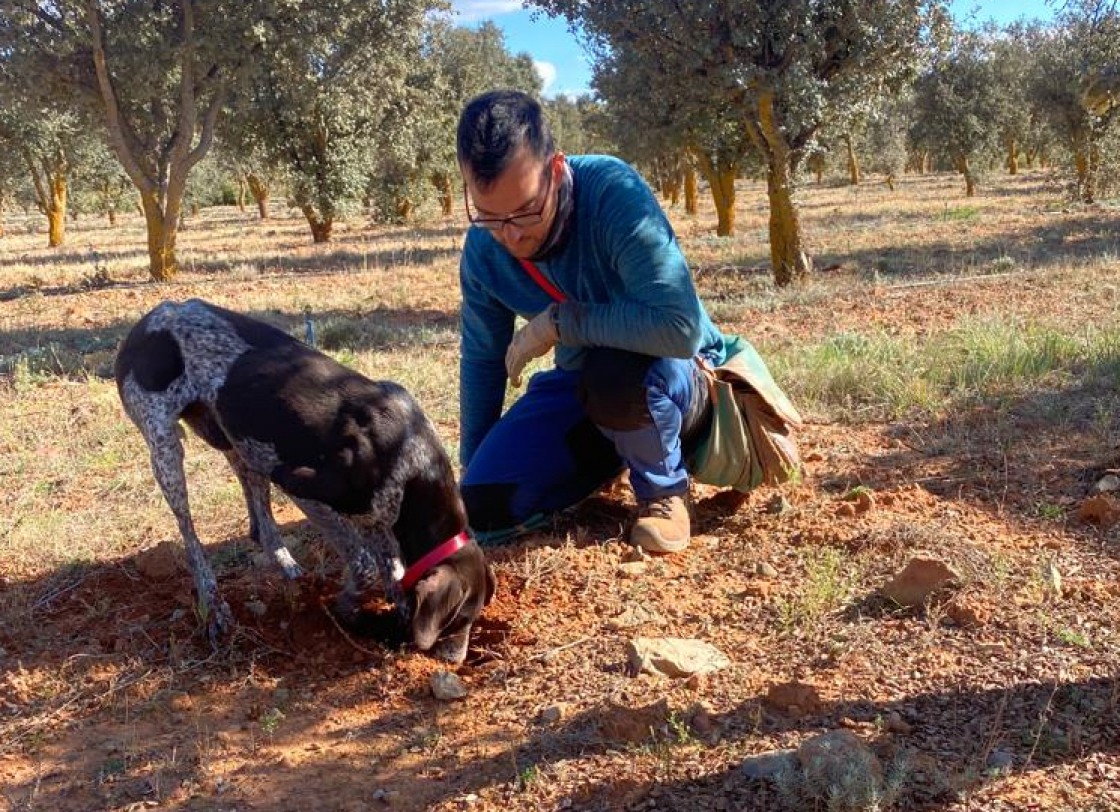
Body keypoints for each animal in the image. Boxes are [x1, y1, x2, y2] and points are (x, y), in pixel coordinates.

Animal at [113, 300, 495, 663]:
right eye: (458, 621)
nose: (457, 660)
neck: (413, 461)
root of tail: (149, 320)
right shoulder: (305, 489)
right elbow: (366, 566)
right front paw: (347, 609)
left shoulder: (375, 514)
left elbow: (391, 568)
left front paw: (396, 612)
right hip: (167, 449)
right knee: (190, 537)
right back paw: (214, 603)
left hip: (239, 442)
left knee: (261, 524)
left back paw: (286, 567)